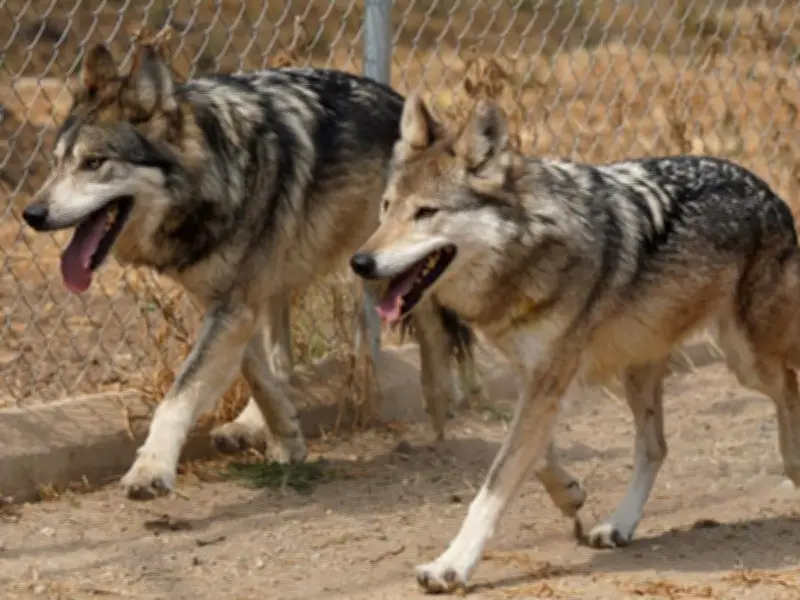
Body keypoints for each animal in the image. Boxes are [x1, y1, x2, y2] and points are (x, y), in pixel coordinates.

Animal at [21, 38, 482, 500]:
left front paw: (150, 469)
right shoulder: (224, 300)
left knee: (434, 326)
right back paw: (251, 426)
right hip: (284, 278)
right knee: (281, 360)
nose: (32, 214)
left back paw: (441, 401)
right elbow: (256, 372)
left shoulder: (234, 304)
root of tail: (400, 102)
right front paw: (286, 436)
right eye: (57, 162)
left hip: (379, 268)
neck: (216, 174)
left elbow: (179, 393)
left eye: (94, 162)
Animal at [350, 93, 800, 593]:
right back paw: (620, 526)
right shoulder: (538, 378)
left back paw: (793, 467)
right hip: (639, 367)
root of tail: (768, 189)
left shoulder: (549, 378)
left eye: (426, 212)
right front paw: (569, 494)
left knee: (789, 389)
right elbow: (533, 455)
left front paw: (452, 565)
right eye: (386, 207)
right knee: (655, 447)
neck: (530, 245)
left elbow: (494, 483)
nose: (361, 262)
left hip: (747, 361)